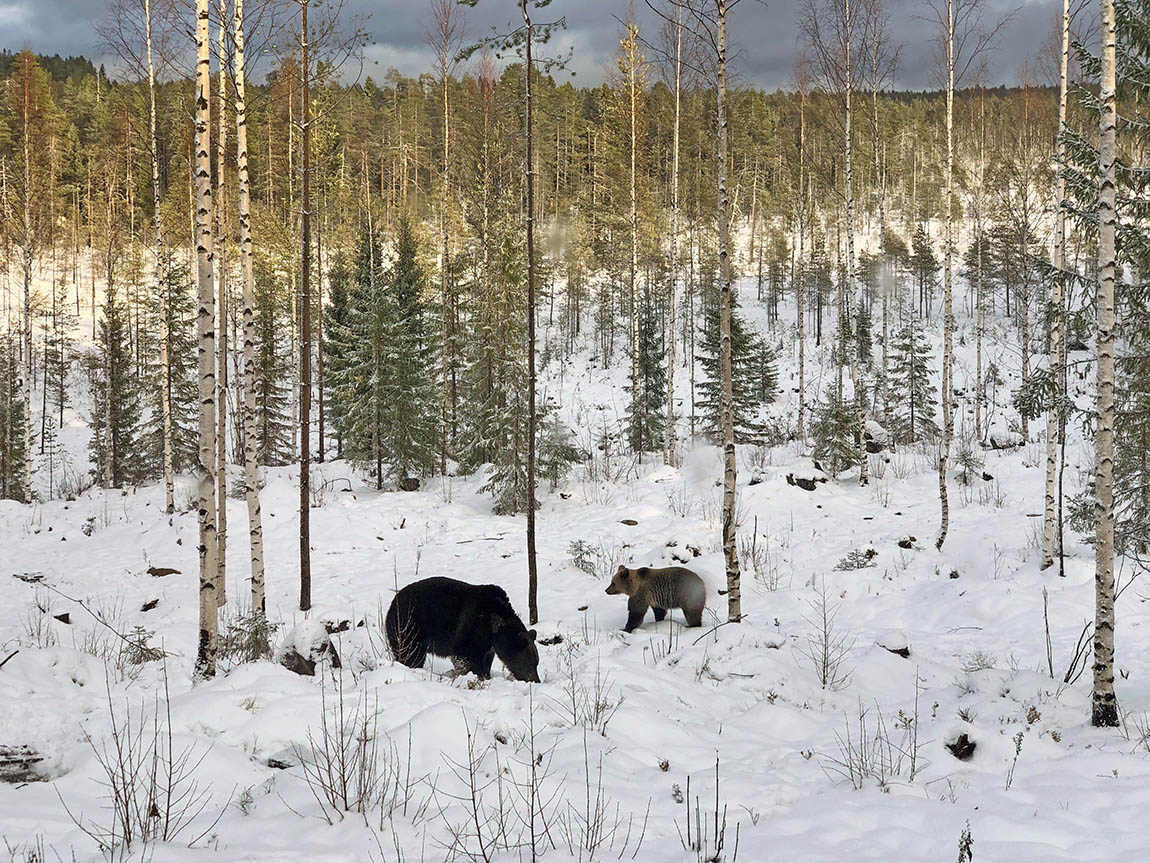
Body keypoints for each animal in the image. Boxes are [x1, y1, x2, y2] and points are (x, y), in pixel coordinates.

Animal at [384, 582, 540, 681]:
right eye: (531, 664)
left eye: (536, 663)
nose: (535, 680)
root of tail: (393, 602)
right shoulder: (475, 623)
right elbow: (465, 654)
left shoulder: (488, 643)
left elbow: (485, 659)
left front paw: (485, 675)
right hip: (410, 624)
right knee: (411, 653)